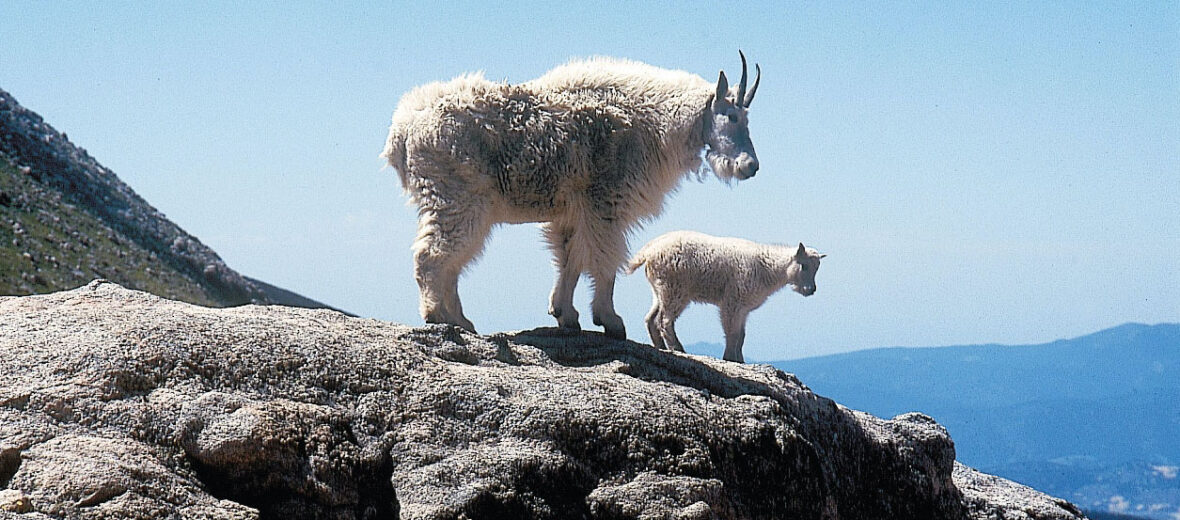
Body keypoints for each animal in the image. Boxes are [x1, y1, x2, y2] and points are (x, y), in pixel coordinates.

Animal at [382, 52, 759, 337]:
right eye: (731, 115)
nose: (750, 166)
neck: (655, 120)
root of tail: (401, 131)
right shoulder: (605, 203)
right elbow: (605, 260)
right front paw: (610, 320)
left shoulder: (572, 211)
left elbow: (570, 259)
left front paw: (565, 314)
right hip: (456, 198)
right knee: (432, 255)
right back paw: (437, 315)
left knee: (451, 261)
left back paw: (462, 320)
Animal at [627, 228, 821, 363]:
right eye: (804, 265)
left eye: (817, 268)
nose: (810, 289)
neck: (768, 269)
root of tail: (648, 251)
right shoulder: (732, 301)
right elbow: (732, 333)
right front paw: (729, 358)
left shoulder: (743, 308)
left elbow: (741, 336)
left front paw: (740, 360)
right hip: (675, 289)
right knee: (665, 320)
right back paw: (678, 349)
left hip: (660, 290)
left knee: (651, 318)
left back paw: (661, 347)